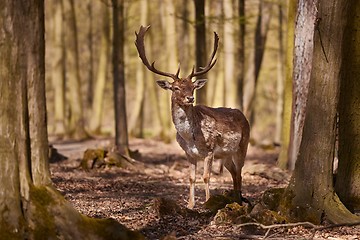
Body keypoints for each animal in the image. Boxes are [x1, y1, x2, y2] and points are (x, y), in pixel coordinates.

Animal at [135, 24, 250, 208]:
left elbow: (206, 177)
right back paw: (235, 198)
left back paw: (239, 200)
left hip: (242, 146)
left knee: (239, 172)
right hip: (225, 155)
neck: (190, 137)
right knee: (233, 172)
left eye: (193, 87)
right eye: (175, 88)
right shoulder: (189, 153)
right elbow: (191, 178)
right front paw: (190, 204)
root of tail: (244, 116)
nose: (190, 98)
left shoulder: (210, 150)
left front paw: (208, 202)